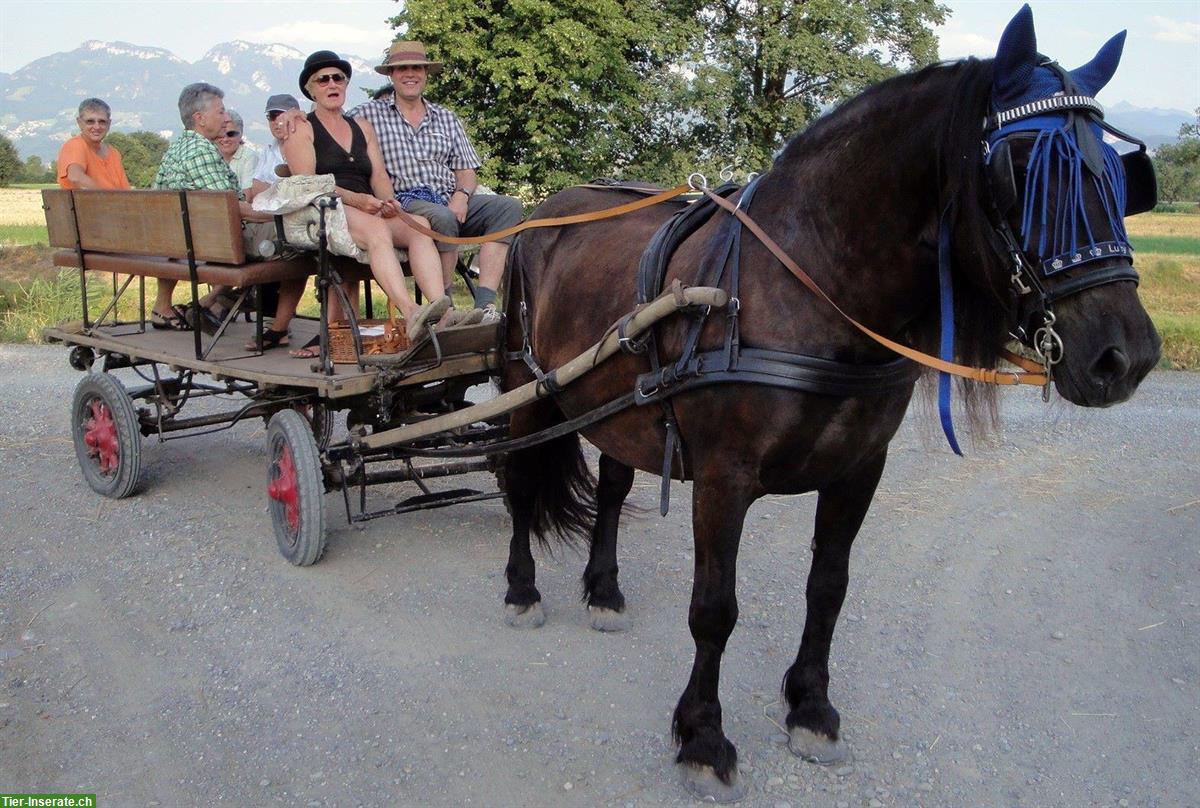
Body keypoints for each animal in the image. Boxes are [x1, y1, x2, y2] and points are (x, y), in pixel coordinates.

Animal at [494, 7, 1152, 801]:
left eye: (1118, 174)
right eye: (1019, 169)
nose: (1127, 355)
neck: (811, 285)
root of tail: (546, 211)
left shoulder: (858, 469)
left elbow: (828, 589)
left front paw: (810, 708)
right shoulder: (724, 479)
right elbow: (714, 609)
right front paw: (703, 739)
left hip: (622, 404)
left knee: (617, 485)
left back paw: (604, 591)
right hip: (530, 389)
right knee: (519, 484)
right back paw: (523, 592)